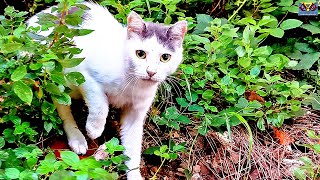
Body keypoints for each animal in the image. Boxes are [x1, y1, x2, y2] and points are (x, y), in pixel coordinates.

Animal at [28, 1, 188, 179]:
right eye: (140, 54)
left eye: (165, 57)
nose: (151, 72)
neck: (133, 83)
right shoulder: (84, 75)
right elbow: (100, 105)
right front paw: (94, 129)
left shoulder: (136, 113)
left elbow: (133, 146)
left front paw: (134, 173)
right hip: (57, 75)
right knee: (63, 108)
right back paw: (77, 139)